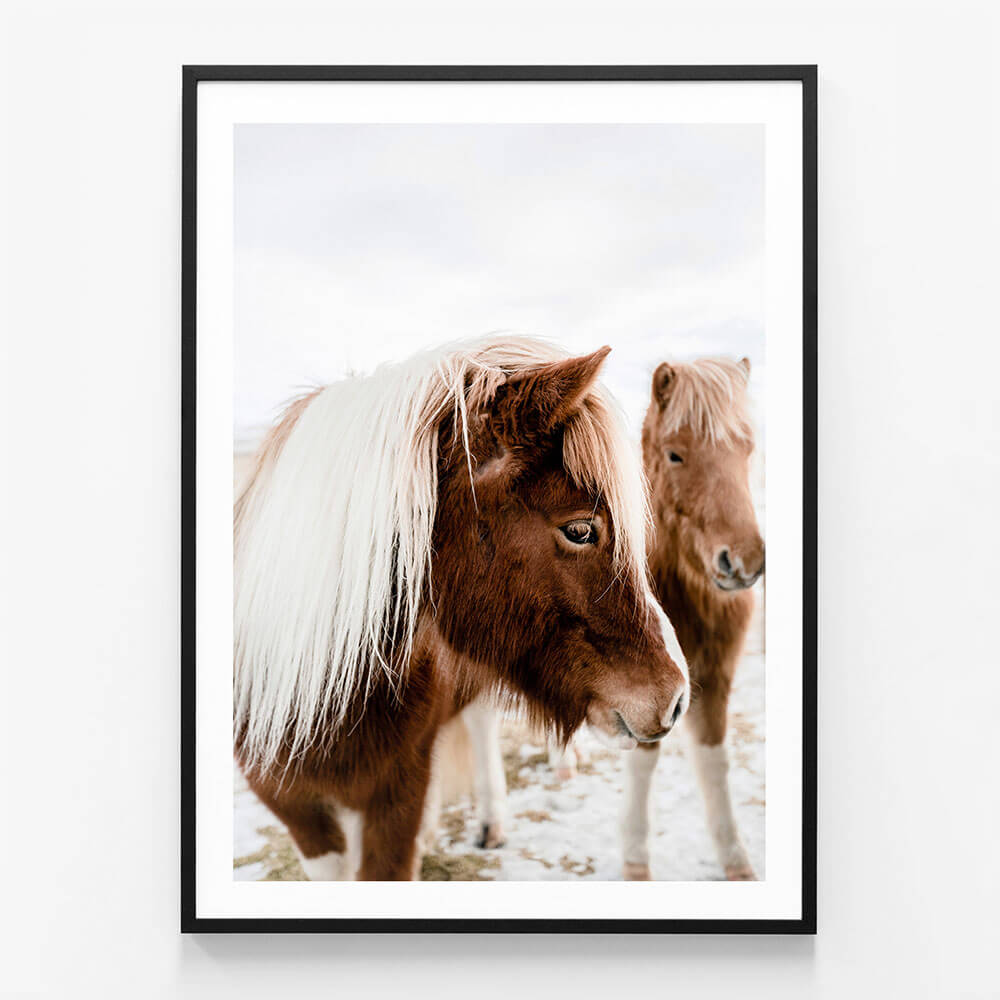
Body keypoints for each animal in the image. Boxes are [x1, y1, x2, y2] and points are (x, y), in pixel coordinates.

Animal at [622, 356, 764, 881]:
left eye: (747, 448)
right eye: (675, 455)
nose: (743, 562)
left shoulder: (716, 675)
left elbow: (715, 761)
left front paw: (736, 860)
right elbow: (645, 759)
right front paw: (635, 859)